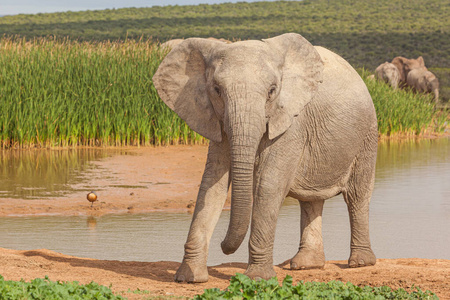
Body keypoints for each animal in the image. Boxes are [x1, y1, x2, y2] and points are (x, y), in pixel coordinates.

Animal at [153, 33, 378, 284]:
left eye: (272, 90)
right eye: (217, 89)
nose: (223, 246)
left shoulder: (291, 122)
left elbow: (268, 185)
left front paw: (257, 278)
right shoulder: (216, 120)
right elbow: (211, 184)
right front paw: (189, 278)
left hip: (367, 134)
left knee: (357, 195)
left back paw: (360, 263)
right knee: (310, 200)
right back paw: (305, 265)